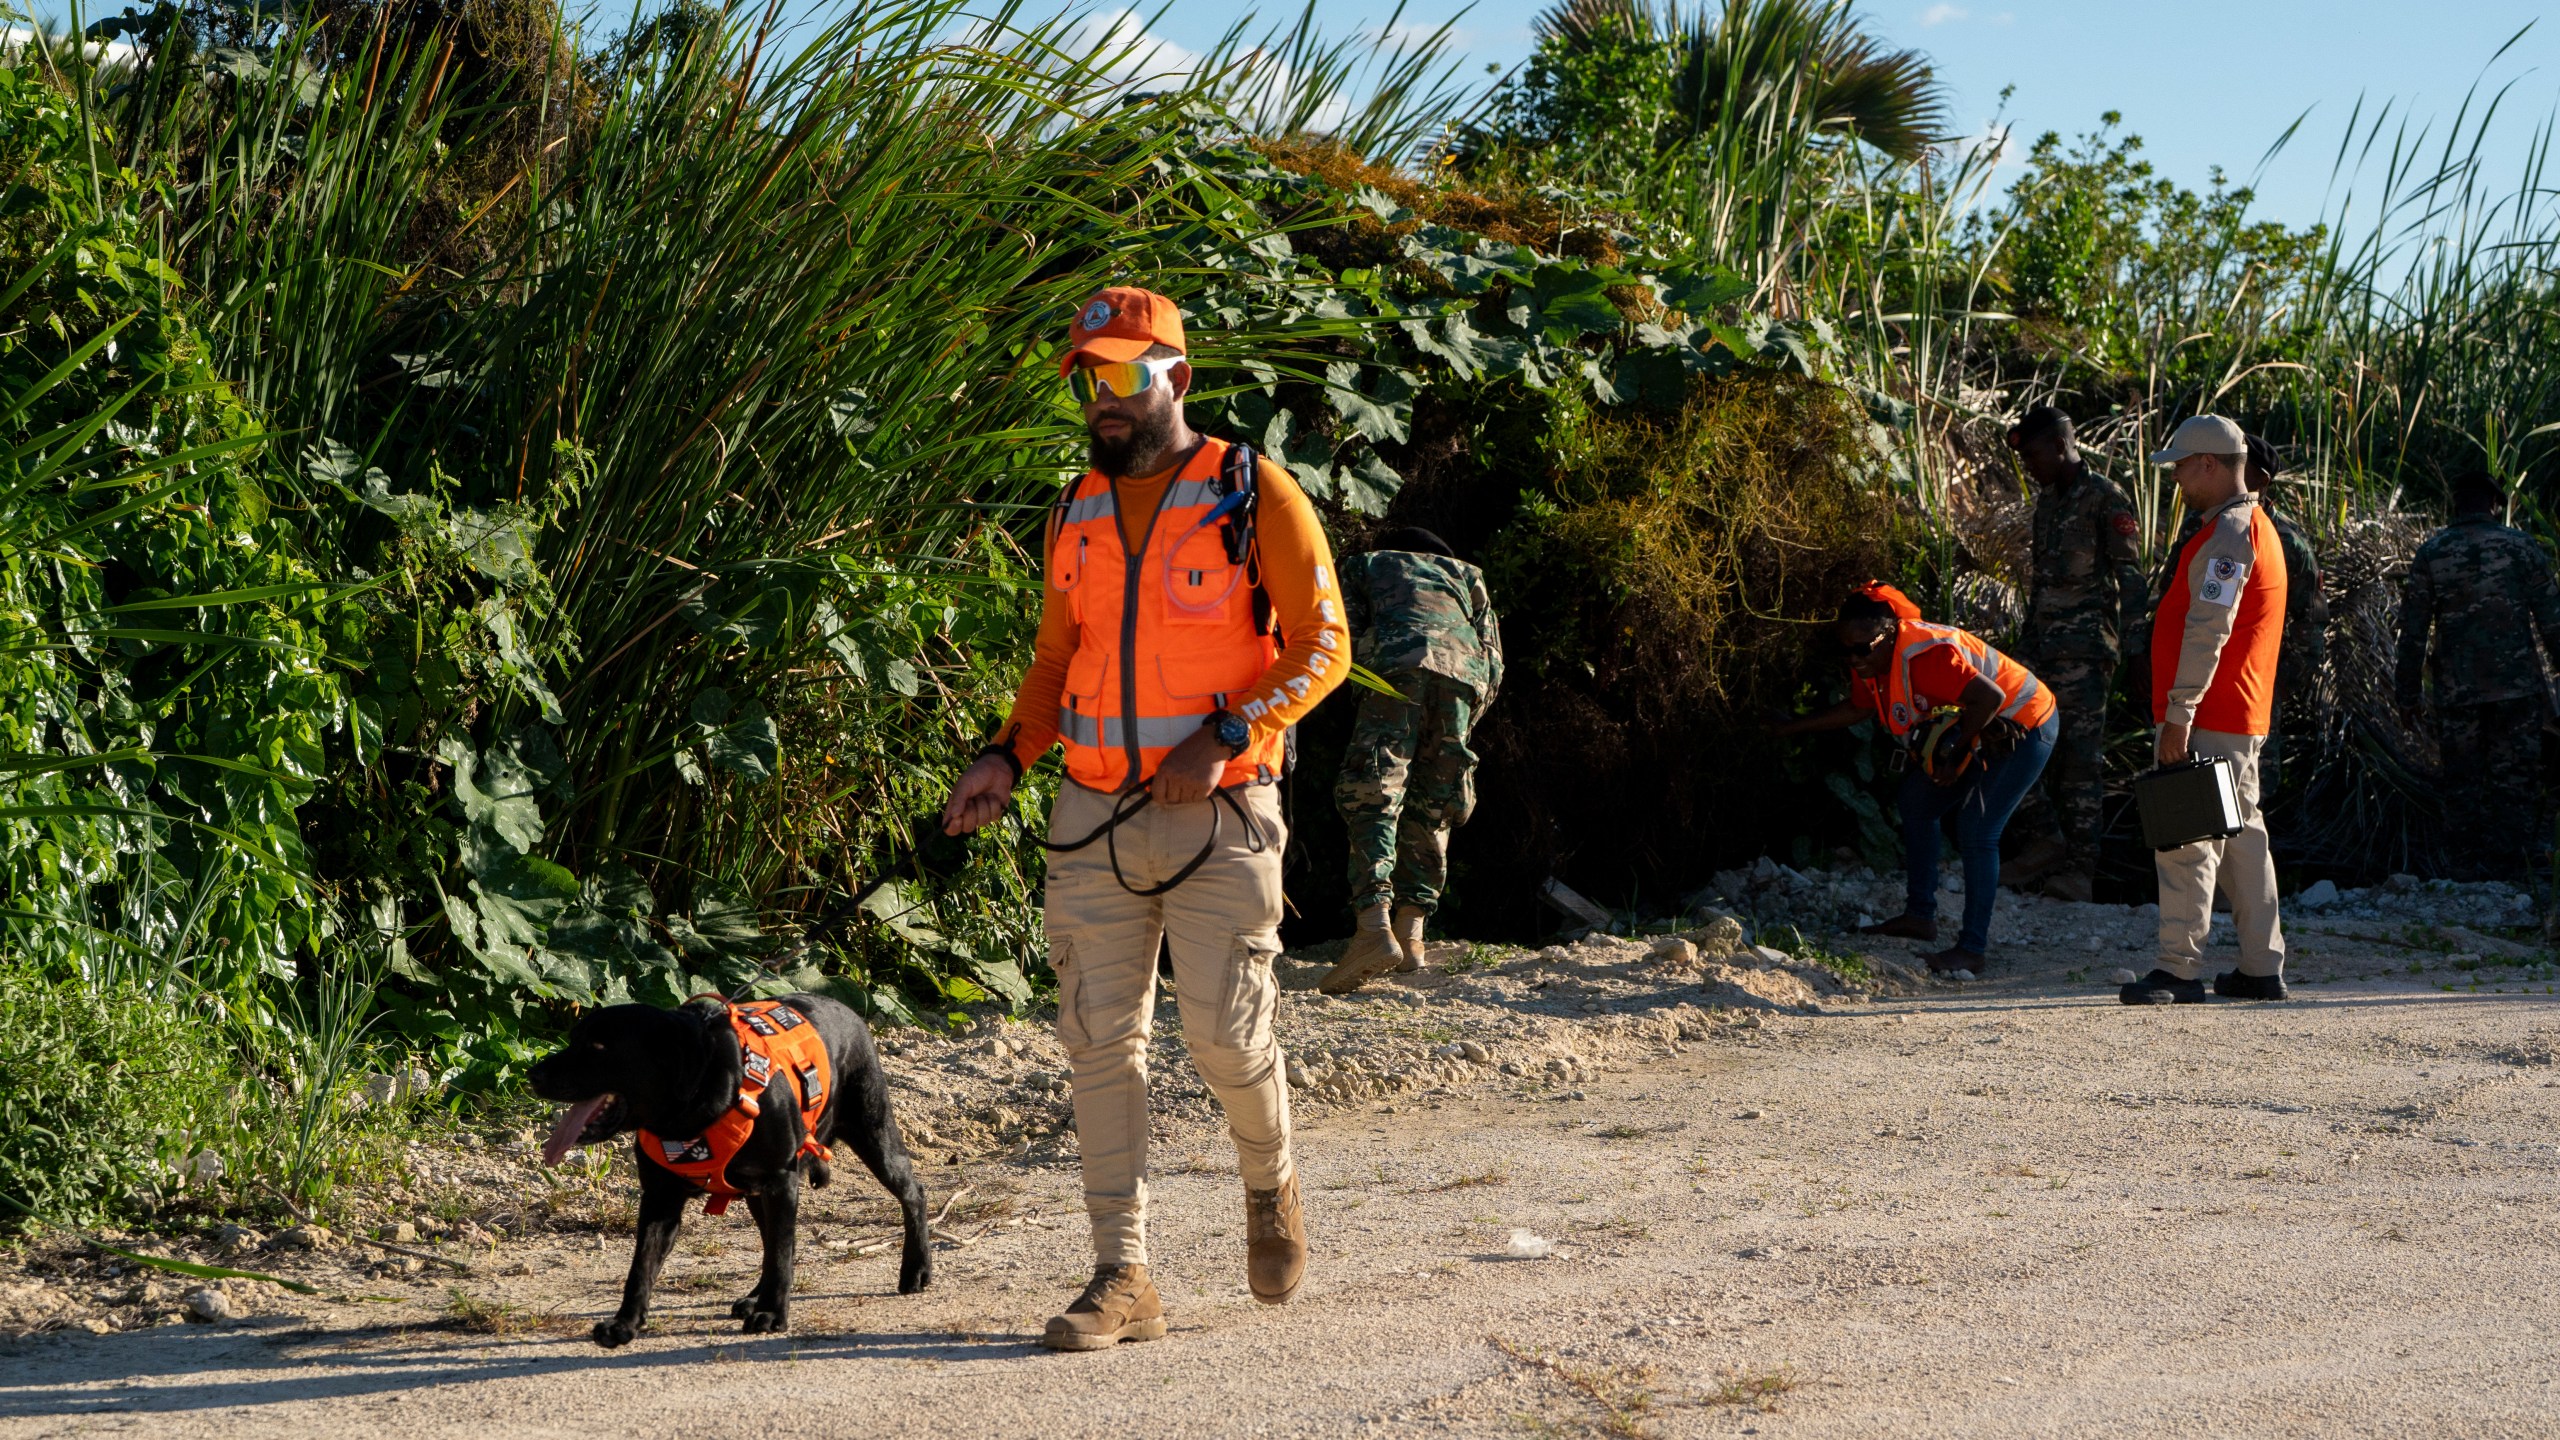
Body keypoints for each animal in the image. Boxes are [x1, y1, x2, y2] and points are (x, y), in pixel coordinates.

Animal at [527, 994, 931, 1342]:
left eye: (599, 1047)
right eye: (573, 1039)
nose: (533, 1074)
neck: (692, 1108)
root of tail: (846, 1009)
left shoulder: (781, 1183)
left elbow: (780, 1255)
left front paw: (773, 1314)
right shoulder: (660, 1198)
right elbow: (641, 1266)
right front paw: (625, 1322)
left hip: (873, 1134)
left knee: (913, 1193)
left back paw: (916, 1269)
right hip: (757, 1192)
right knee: (773, 1243)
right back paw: (756, 1297)